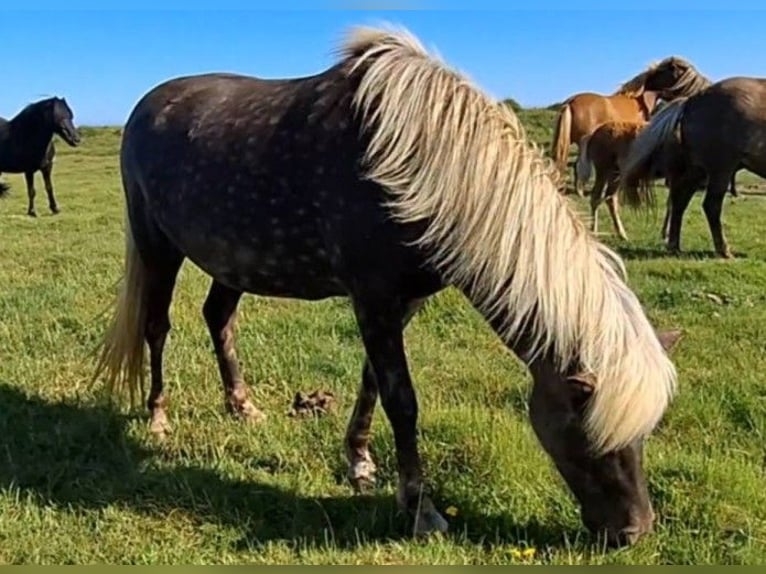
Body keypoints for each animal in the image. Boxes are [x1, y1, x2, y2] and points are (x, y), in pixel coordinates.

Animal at [92, 25, 681, 547]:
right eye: (588, 433)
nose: (633, 533)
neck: (420, 163)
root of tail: (146, 106)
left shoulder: (404, 301)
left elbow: (372, 383)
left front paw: (360, 463)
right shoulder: (373, 296)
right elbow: (402, 400)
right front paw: (420, 510)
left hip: (233, 258)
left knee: (219, 318)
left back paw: (242, 406)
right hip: (156, 246)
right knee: (156, 326)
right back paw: (158, 416)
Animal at [621, 57, 764, 258]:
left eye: (660, 70)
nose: (632, 87)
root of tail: (691, 101)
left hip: (699, 171)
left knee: (680, 201)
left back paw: (674, 244)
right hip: (719, 169)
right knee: (710, 206)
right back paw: (723, 250)